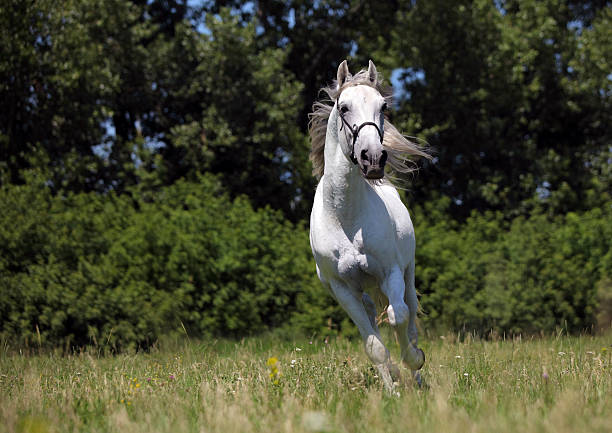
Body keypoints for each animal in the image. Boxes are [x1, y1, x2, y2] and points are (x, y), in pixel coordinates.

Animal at [306, 59, 430, 394]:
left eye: (383, 107)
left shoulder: (390, 273)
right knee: (374, 324)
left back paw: (417, 377)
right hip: (363, 292)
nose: (373, 159)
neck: (346, 218)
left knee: (409, 316)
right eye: (344, 107)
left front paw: (414, 360)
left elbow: (398, 316)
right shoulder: (342, 288)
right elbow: (373, 345)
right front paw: (391, 390)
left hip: (407, 275)